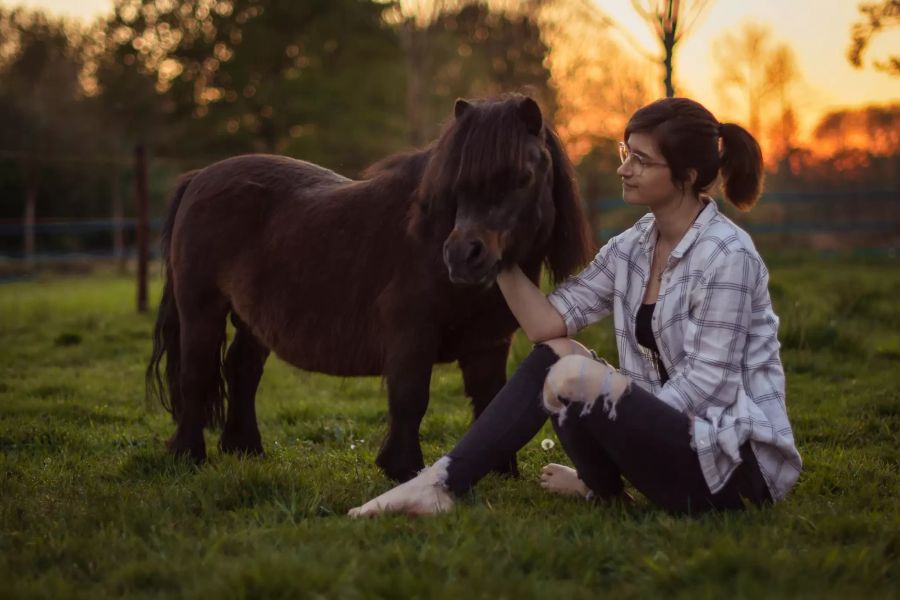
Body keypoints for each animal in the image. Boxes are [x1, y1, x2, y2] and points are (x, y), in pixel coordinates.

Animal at [148, 95, 596, 482]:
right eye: (456, 182)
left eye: (522, 177)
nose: (462, 256)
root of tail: (200, 177)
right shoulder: (411, 334)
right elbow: (410, 398)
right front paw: (403, 468)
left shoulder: (489, 343)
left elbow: (491, 402)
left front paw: (503, 471)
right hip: (201, 311)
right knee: (196, 374)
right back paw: (188, 454)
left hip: (251, 321)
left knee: (241, 370)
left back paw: (245, 449)